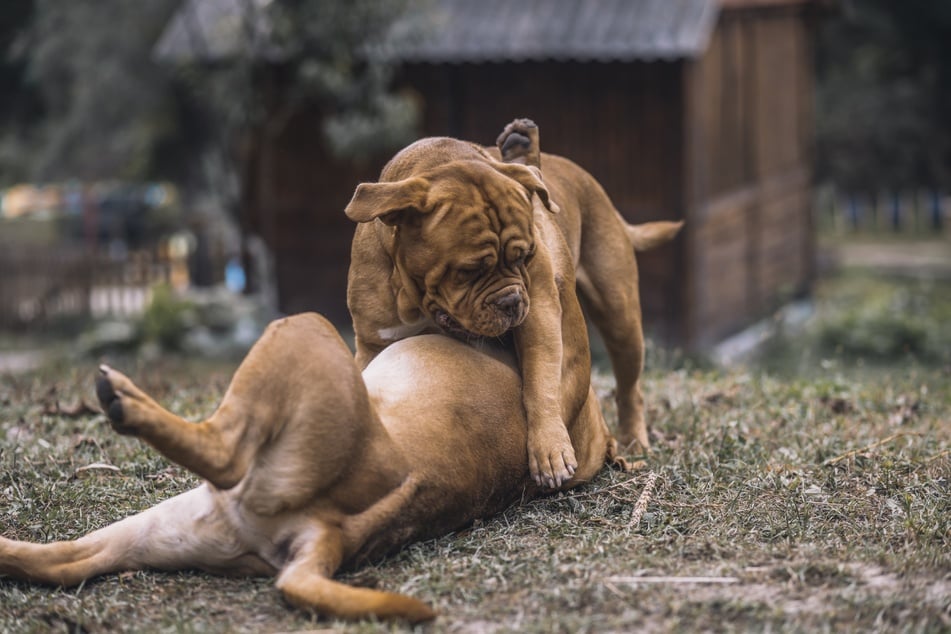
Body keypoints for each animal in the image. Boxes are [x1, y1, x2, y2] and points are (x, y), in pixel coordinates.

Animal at [1, 314, 624, 620]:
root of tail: (334, 532)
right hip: (159, 529)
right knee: (58, 563)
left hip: (302, 330)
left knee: (223, 450)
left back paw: (124, 399)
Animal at [346, 118, 680, 484]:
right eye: (468, 270)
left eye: (524, 256)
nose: (511, 301)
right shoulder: (374, 343)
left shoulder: (540, 314)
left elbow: (541, 383)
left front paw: (550, 448)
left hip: (620, 317)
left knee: (630, 388)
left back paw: (634, 441)